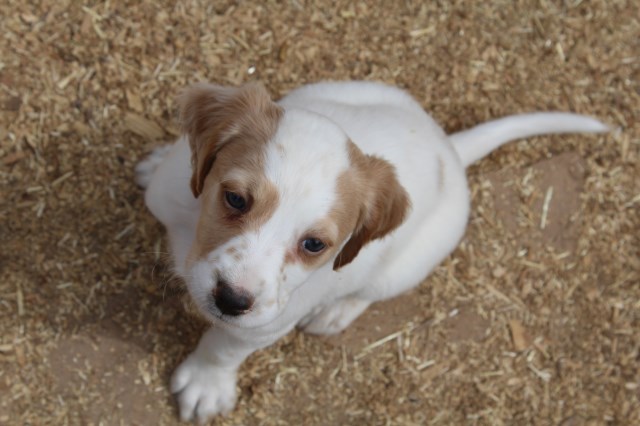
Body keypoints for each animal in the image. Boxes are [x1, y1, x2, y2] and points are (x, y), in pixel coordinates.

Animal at [136, 80, 608, 422]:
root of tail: (450, 150)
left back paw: (335, 312)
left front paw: (205, 386)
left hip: (404, 268)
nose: (231, 299)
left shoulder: (264, 321)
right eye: (235, 199)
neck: (190, 232)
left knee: (367, 293)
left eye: (314, 244)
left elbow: (223, 346)